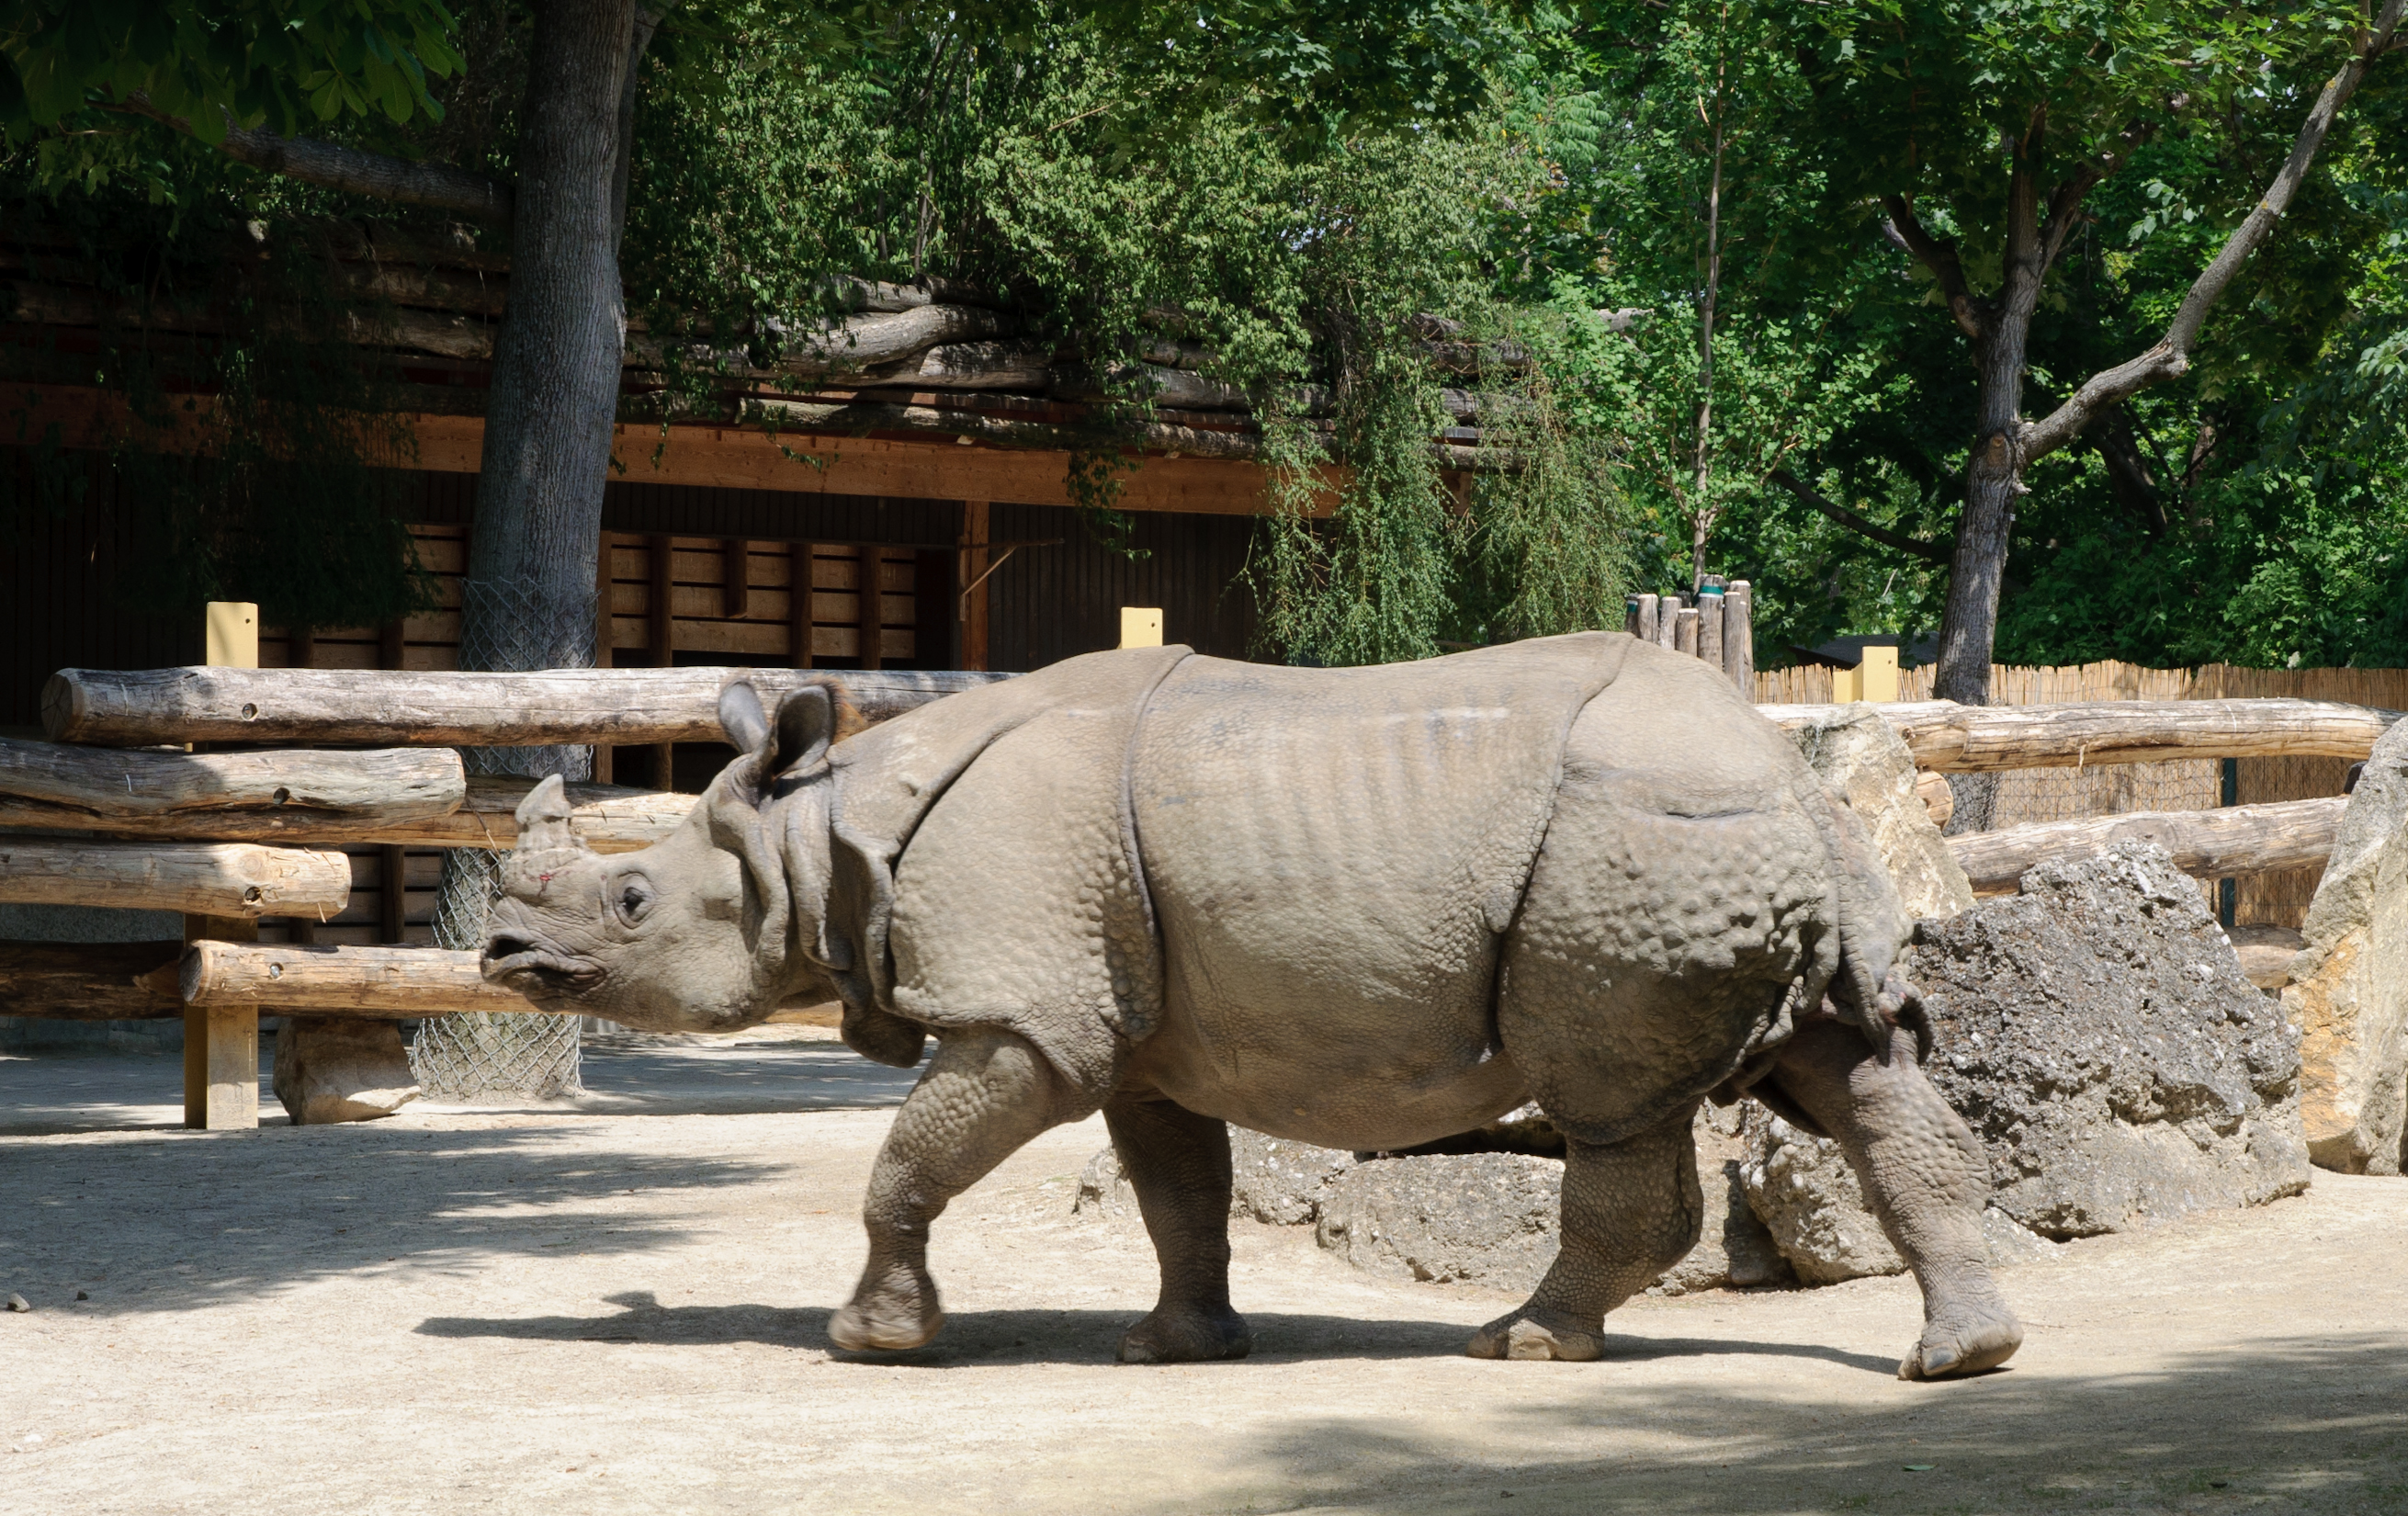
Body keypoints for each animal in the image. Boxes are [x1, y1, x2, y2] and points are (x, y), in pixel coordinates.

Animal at [482, 633, 2021, 1377]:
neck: (821, 829)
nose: (499, 951)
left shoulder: (1022, 1017)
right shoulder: (1137, 1031)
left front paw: (872, 1341)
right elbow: (1179, 1188)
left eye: (630, 903)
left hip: (1630, 846)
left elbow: (905, 1163)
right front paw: (1173, 1346)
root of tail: (1783, 767)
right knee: (1858, 1068)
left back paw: (1522, 1344)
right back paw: (1963, 1358)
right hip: (1748, 839)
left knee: (1609, 1101)